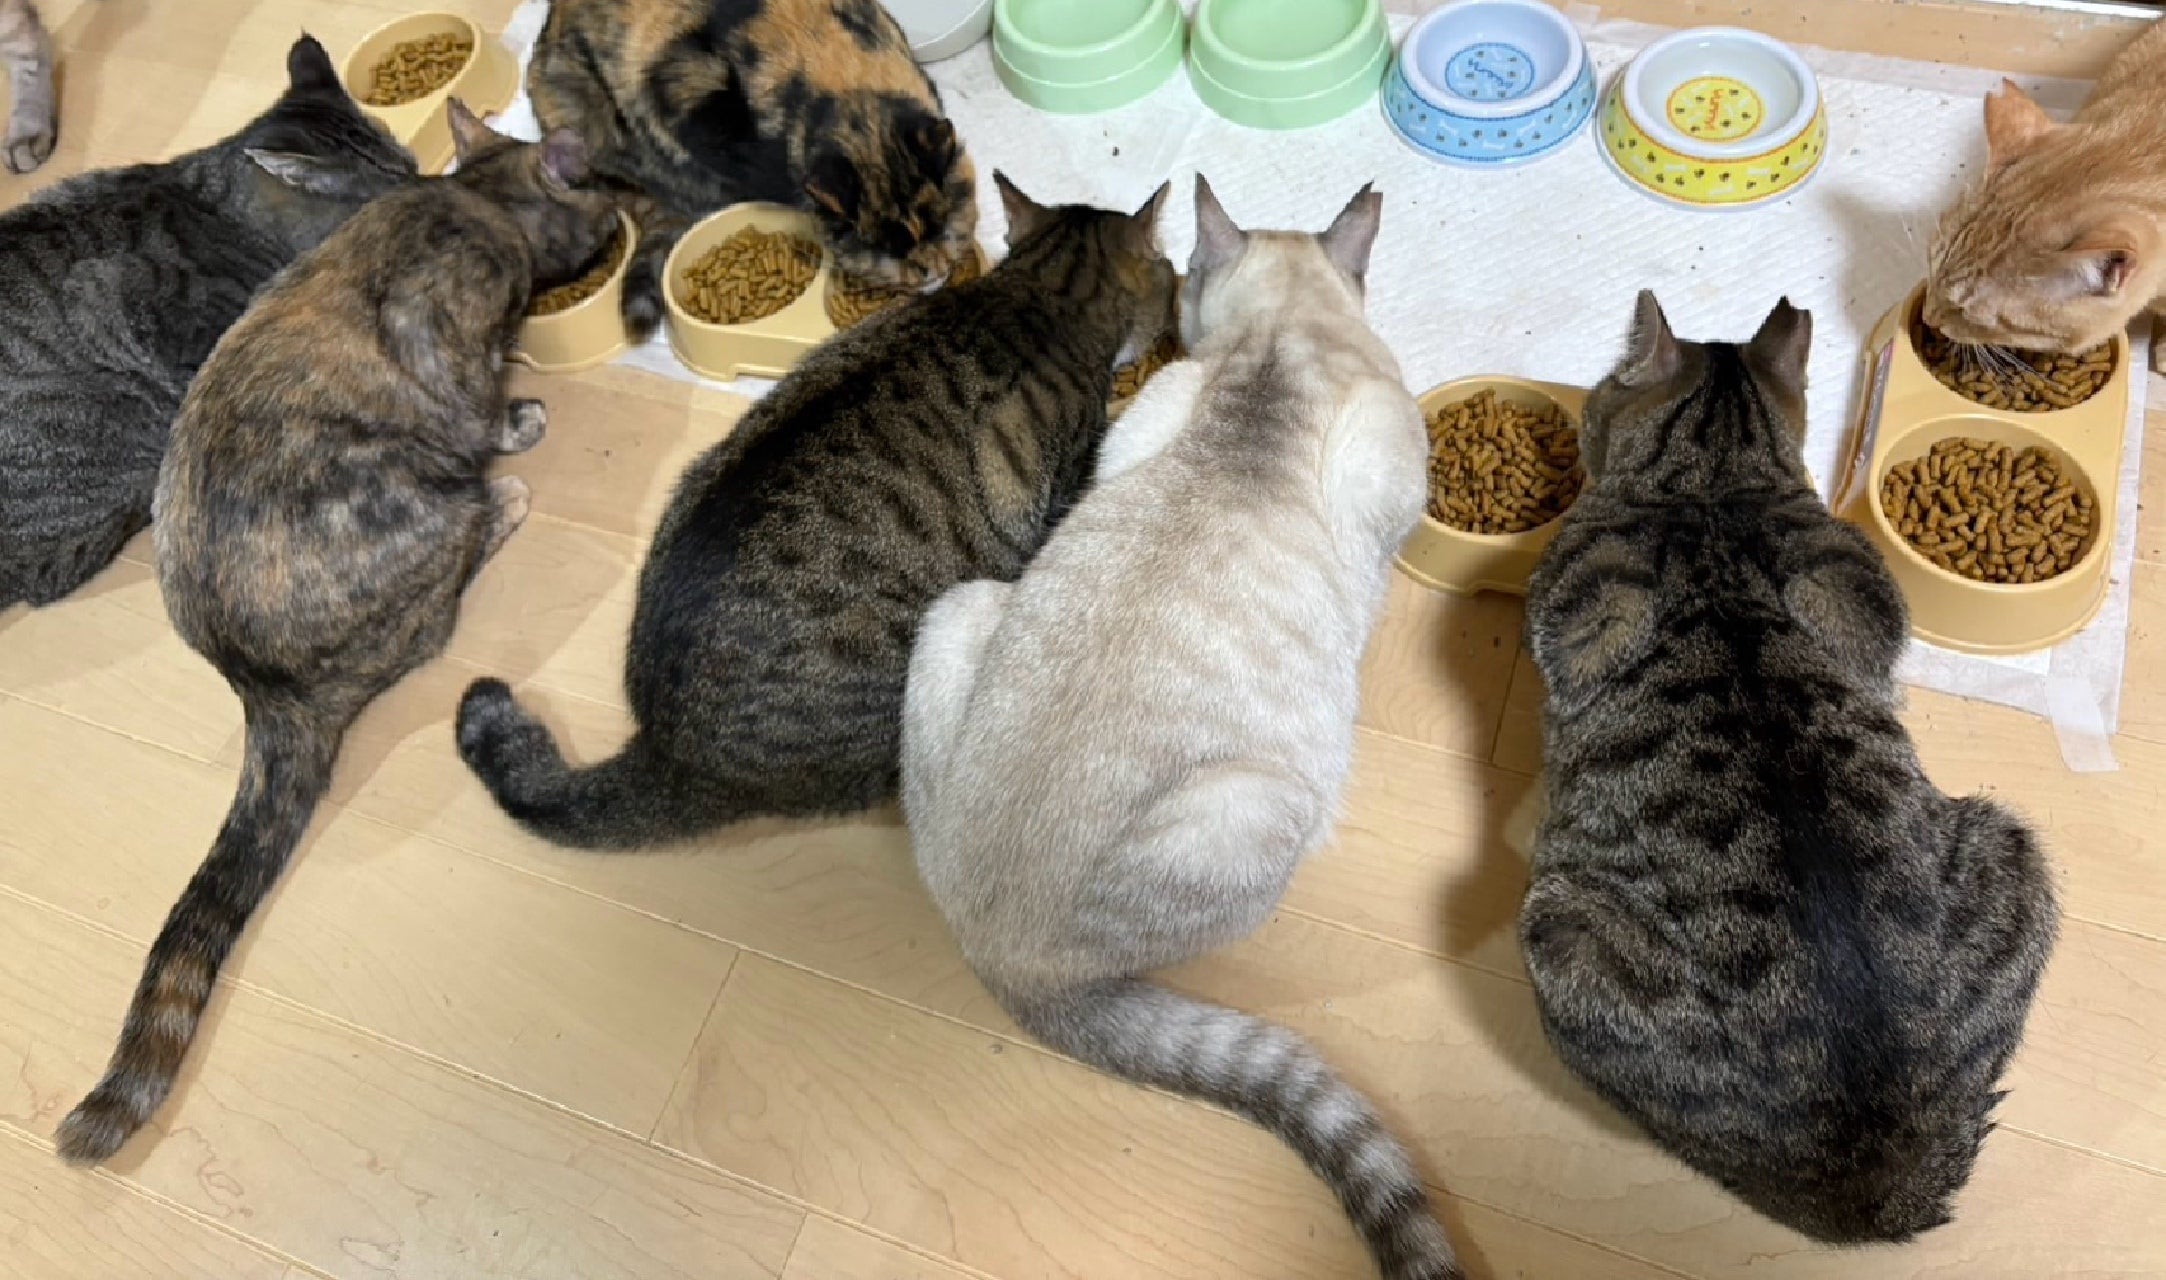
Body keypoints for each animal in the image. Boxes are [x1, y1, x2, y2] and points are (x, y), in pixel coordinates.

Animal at [54, 105, 617, 1166]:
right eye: (603, 195)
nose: (621, 216)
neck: (474, 197)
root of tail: (264, 690)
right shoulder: (459, 347)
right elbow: (488, 405)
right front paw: (520, 423)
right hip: (420, 506)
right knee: (452, 573)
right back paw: (504, 501)